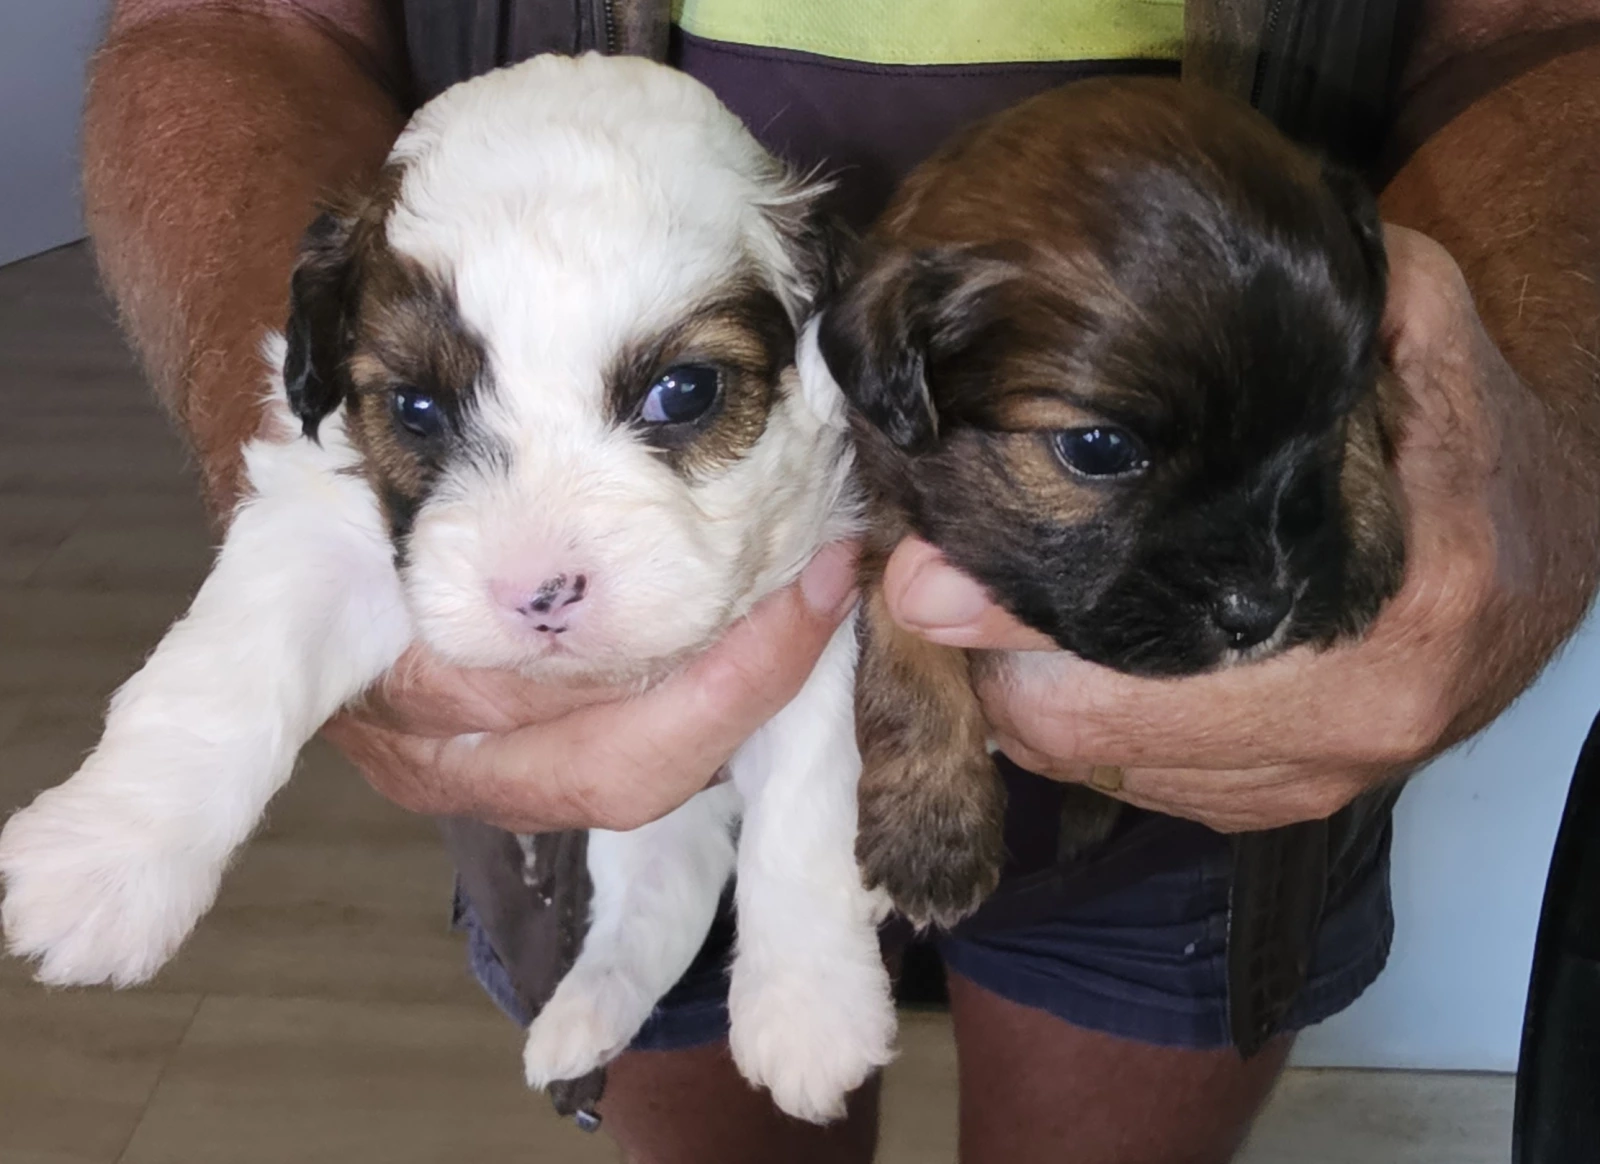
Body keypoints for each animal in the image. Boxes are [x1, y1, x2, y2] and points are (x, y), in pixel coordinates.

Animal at [0, 54, 893, 1124]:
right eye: (418, 408)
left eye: (685, 392)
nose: (540, 594)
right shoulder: (322, 526)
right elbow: (225, 672)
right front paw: (106, 860)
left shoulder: (826, 585)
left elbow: (807, 803)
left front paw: (809, 1008)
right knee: (664, 873)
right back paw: (581, 1018)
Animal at [813, 77, 1408, 929]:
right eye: (1099, 450)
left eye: (1323, 420)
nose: (1261, 613)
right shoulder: (887, 516)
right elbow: (905, 656)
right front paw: (933, 832)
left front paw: (1370, 535)